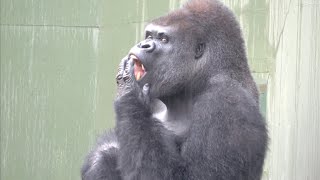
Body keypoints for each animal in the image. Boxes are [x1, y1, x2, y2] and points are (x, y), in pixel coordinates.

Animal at [80, 0, 268, 180]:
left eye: (163, 39)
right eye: (149, 35)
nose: (144, 44)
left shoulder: (225, 101)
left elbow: (194, 175)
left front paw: (129, 94)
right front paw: (101, 157)